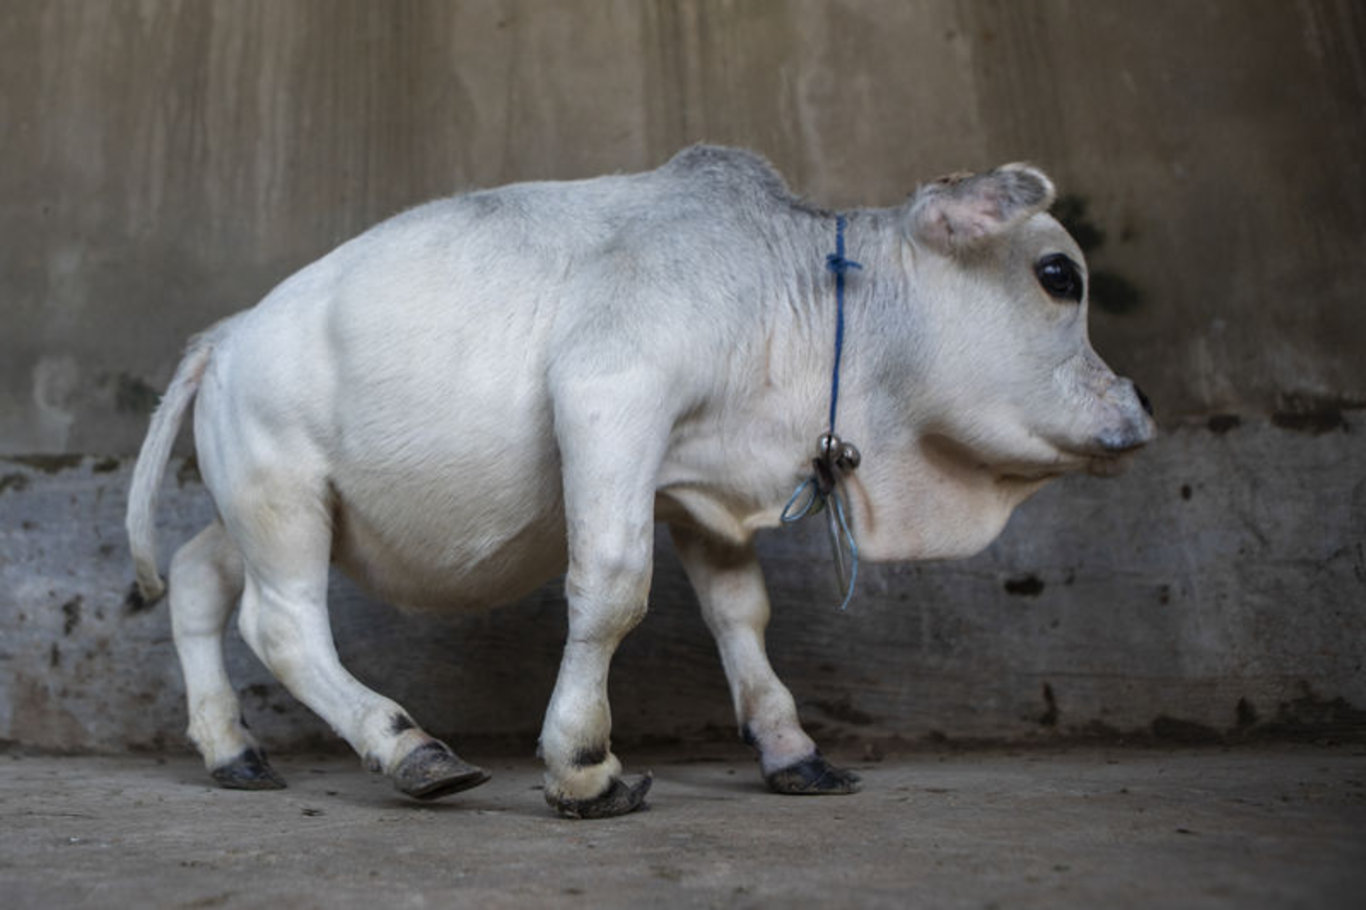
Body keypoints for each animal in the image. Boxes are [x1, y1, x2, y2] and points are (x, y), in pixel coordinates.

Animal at [128, 146, 1152, 814]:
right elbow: (613, 589)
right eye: (1058, 274)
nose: (1141, 404)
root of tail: (226, 333)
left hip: (264, 509)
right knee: (283, 626)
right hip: (283, 499)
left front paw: (790, 749)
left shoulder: (696, 485)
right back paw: (408, 749)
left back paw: (232, 749)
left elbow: (740, 614)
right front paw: (584, 763)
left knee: (197, 578)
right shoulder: (610, 394)